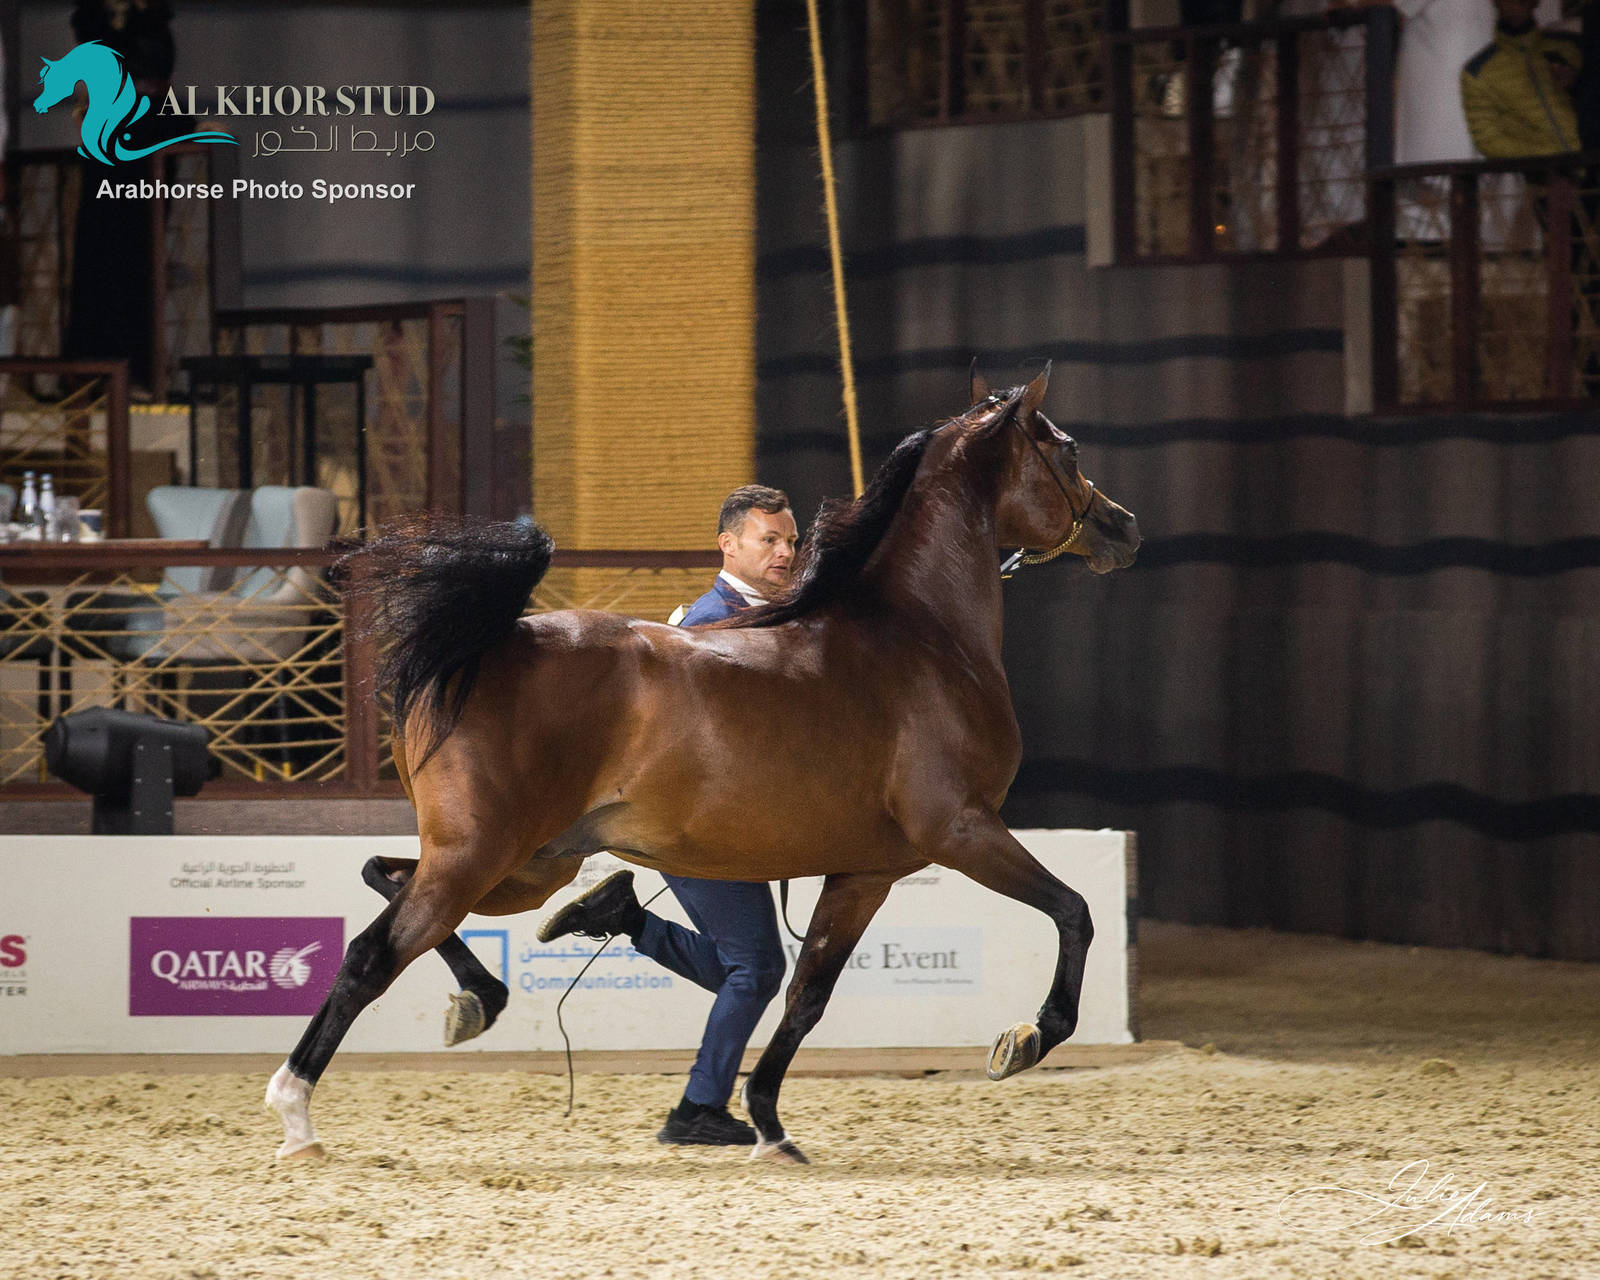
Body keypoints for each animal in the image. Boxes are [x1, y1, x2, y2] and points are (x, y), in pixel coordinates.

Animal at [266, 364, 1141, 1163]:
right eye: (1065, 449)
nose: (1123, 525)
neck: (919, 636)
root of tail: (478, 649)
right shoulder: (960, 830)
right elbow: (1074, 913)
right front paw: (1027, 1038)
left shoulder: (867, 870)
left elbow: (805, 995)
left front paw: (770, 1126)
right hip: (480, 855)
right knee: (371, 954)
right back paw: (297, 1116)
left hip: (526, 864)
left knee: (390, 877)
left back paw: (486, 995)